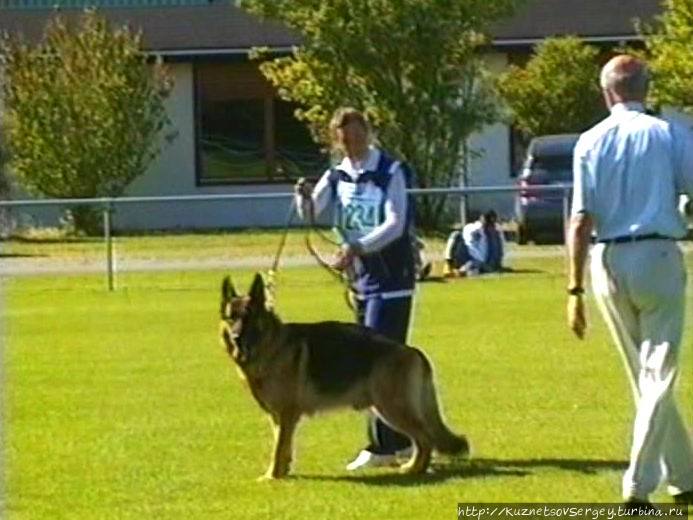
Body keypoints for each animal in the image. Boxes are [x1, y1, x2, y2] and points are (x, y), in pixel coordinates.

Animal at [219, 272, 468, 480]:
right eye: (231, 318)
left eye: (249, 318)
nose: (236, 338)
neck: (271, 345)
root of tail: (412, 350)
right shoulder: (278, 418)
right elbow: (284, 447)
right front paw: (283, 472)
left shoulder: (287, 414)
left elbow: (279, 449)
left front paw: (272, 477)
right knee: (422, 439)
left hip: (392, 409)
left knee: (425, 439)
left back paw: (416, 469)